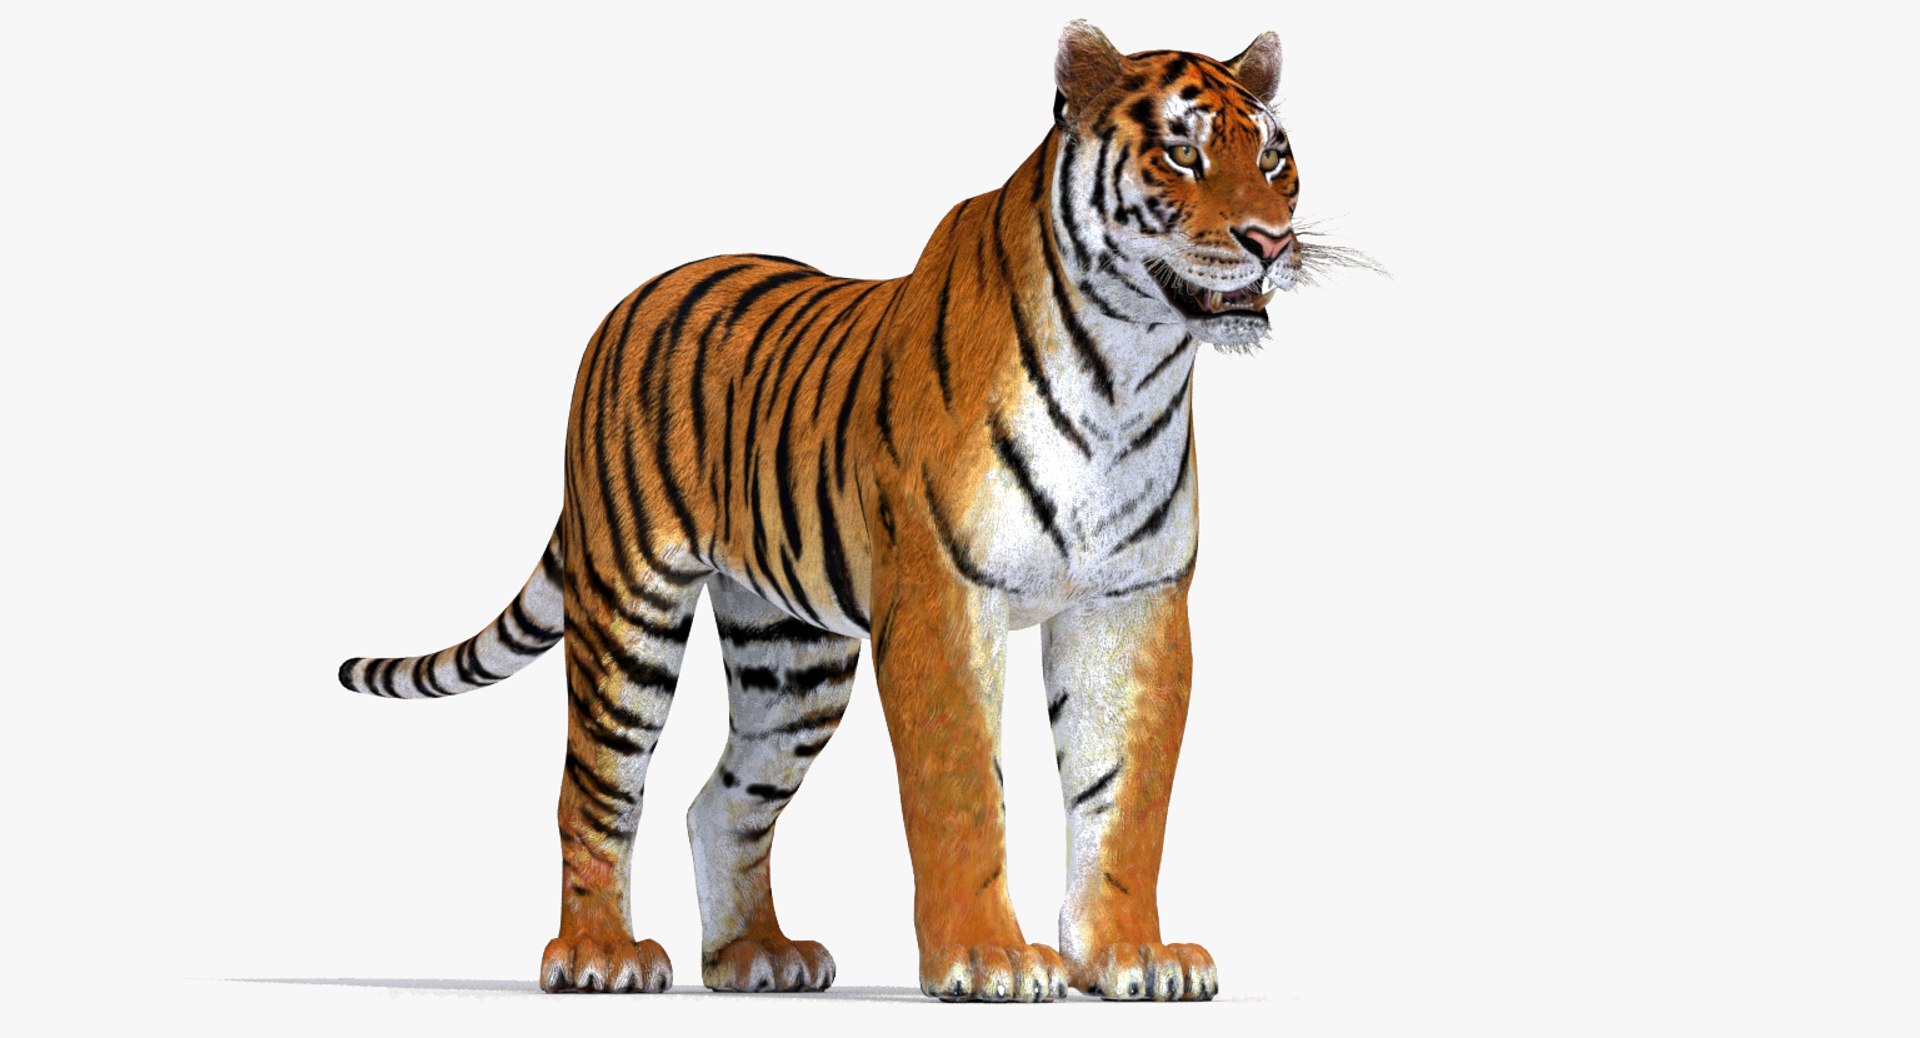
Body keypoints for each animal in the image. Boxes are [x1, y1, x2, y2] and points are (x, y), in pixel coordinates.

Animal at [339, 21, 1315, 1002]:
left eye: (1274, 157)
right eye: (1183, 153)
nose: (1271, 241)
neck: (1130, 367)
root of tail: (634, 298)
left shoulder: (1134, 604)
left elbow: (1125, 794)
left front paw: (1130, 954)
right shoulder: (942, 598)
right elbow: (962, 789)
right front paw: (986, 958)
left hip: (789, 658)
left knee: (723, 800)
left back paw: (755, 955)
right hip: (629, 610)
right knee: (597, 787)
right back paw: (599, 955)